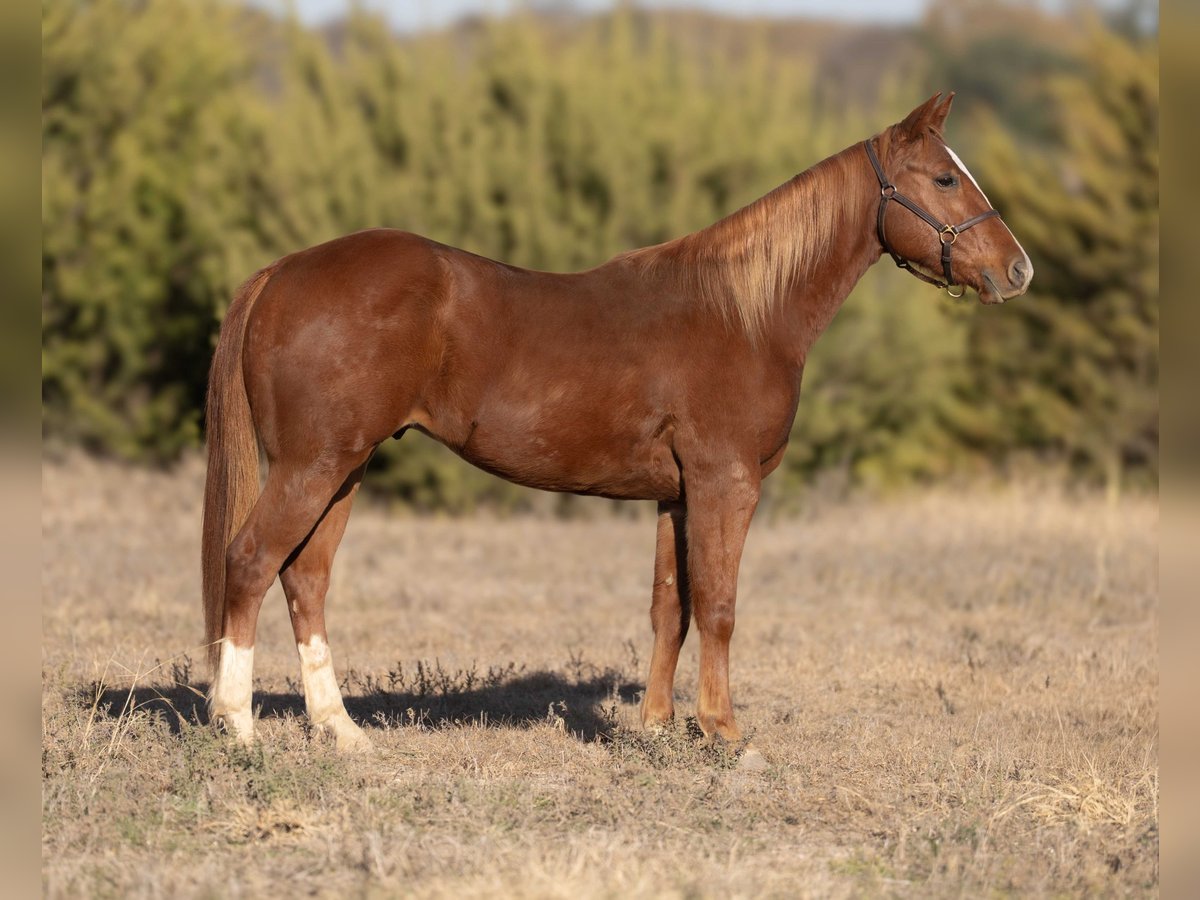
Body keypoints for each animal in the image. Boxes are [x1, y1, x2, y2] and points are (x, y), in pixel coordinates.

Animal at [202, 92, 1032, 755]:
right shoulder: (726, 483)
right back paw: (238, 727)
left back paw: (339, 730)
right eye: (945, 178)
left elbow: (671, 608)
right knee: (249, 562)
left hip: (343, 470)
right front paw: (723, 732)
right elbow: (720, 606)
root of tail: (280, 272)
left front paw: (657, 727)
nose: (1017, 269)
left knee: (305, 579)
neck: (745, 312)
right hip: (313, 466)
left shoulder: (676, 495)